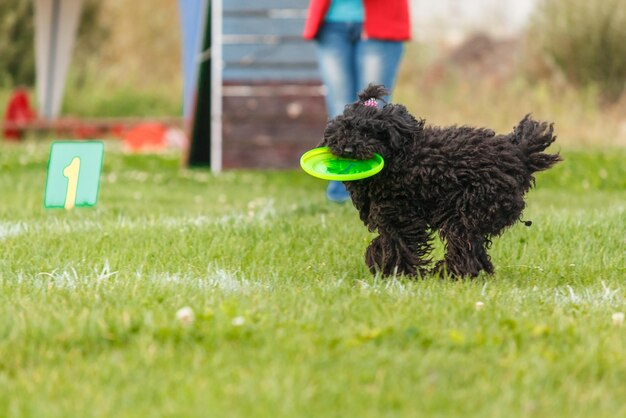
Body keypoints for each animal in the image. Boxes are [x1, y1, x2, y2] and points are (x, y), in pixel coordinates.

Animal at [320, 84, 560, 278]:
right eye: (345, 129)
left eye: (370, 132)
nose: (348, 149)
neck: (400, 159)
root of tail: (517, 154)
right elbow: (387, 242)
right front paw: (383, 265)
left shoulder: (399, 215)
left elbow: (397, 244)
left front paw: (396, 272)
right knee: (474, 248)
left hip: (470, 209)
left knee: (463, 244)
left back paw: (448, 273)